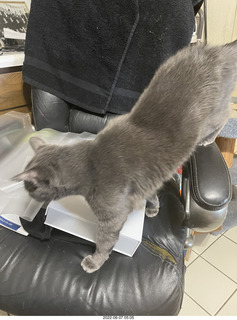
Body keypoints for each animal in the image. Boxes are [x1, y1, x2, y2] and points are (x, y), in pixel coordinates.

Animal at [12, 39, 237, 272]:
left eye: (30, 187)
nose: (28, 195)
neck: (89, 164)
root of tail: (217, 50)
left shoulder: (112, 216)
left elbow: (104, 241)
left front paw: (94, 262)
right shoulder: (145, 182)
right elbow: (151, 195)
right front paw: (154, 208)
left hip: (213, 115)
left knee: (225, 116)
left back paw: (208, 139)